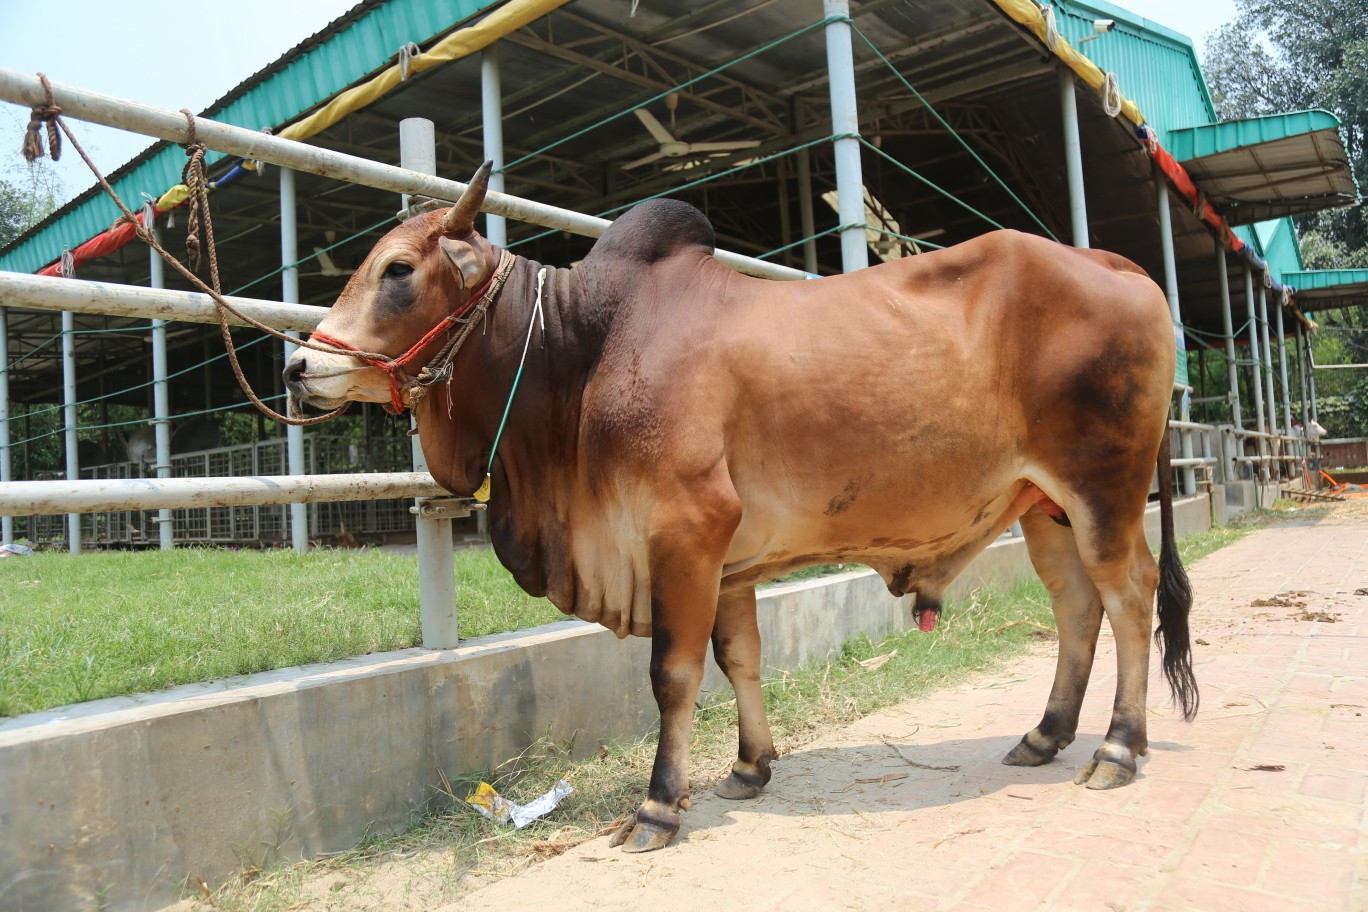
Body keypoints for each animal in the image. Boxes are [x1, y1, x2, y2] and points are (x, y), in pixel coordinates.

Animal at [284, 163, 1196, 853]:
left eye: (399, 270)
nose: (298, 368)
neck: (579, 352)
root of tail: (1121, 266)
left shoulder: (684, 532)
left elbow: (674, 673)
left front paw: (658, 805)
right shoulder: (726, 560)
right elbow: (740, 658)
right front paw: (750, 768)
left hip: (1103, 490)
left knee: (1128, 596)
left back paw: (1118, 748)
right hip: (1043, 506)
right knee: (1076, 605)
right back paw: (1045, 734)